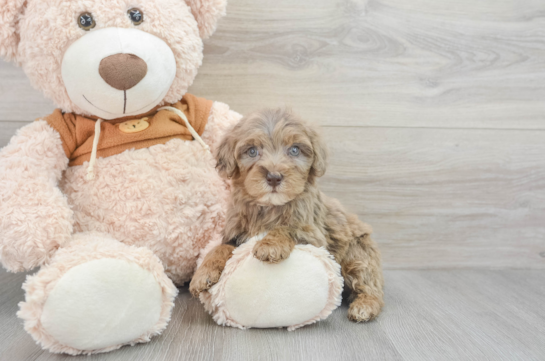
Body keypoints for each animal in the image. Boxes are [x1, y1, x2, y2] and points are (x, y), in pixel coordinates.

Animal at [189, 107, 384, 320]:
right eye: (252, 151)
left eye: (294, 150)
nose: (274, 177)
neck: (269, 207)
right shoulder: (235, 233)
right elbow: (220, 248)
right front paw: (202, 274)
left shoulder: (313, 234)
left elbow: (287, 227)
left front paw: (269, 246)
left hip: (358, 253)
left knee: (370, 284)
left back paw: (365, 306)